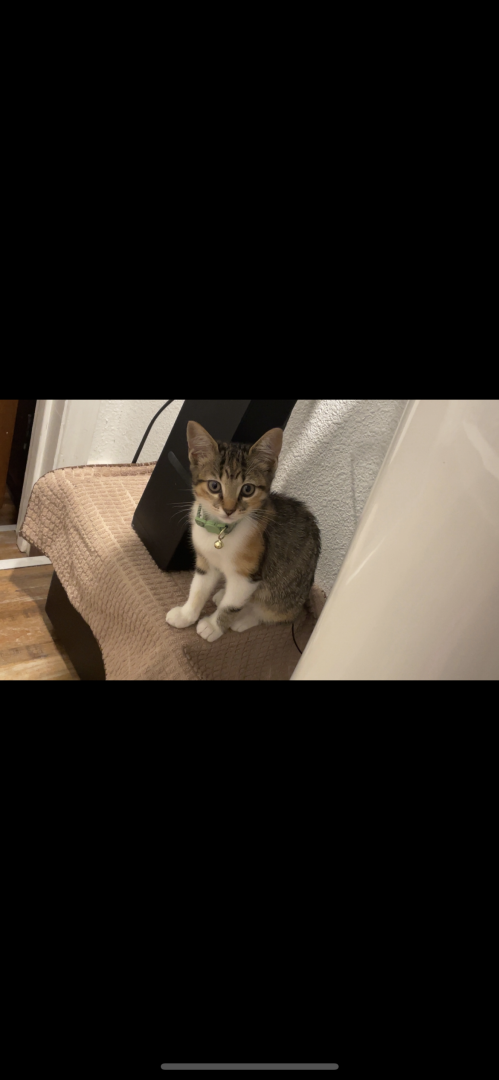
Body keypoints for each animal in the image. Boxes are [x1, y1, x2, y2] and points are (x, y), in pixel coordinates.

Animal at [166, 421, 321, 643]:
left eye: (248, 489)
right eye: (214, 485)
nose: (229, 509)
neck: (220, 532)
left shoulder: (248, 576)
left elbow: (231, 606)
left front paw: (213, 626)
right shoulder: (206, 561)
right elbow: (198, 588)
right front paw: (186, 615)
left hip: (284, 593)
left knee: (275, 611)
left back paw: (244, 619)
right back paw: (222, 593)